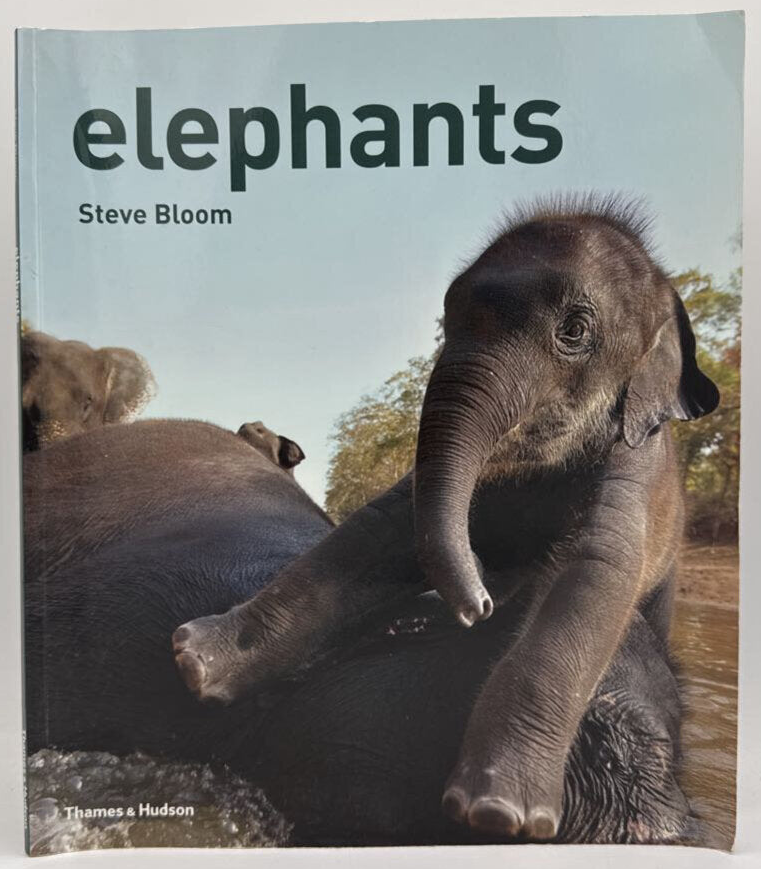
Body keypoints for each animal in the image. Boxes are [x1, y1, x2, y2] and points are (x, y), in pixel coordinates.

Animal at [172, 195, 719, 841]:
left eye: (574, 330)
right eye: (448, 319)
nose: (478, 604)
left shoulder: (632, 472)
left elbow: (590, 576)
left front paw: (498, 813)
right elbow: (380, 530)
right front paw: (195, 663)